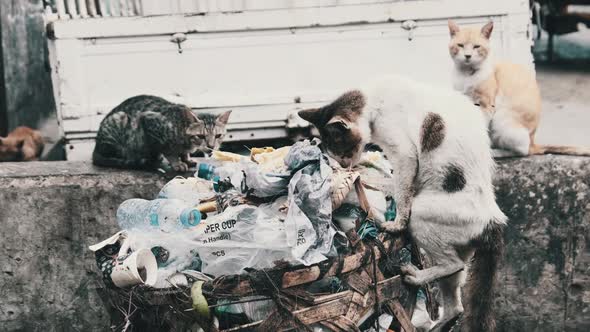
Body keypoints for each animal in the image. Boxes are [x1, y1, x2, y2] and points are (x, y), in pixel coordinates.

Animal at [92, 94, 231, 170]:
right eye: (200, 136)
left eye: (218, 135)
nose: (211, 146)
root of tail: (96, 147)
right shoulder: (149, 122)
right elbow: (168, 151)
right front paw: (177, 163)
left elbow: (184, 153)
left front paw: (186, 158)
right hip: (120, 119)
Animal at [300, 76, 508, 332]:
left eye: (342, 149)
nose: (343, 165)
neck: (373, 100)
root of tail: (494, 220)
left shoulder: (405, 155)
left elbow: (402, 190)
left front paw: (396, 221)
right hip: (456, 247)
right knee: (456, 305)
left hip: (422, 217)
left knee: (453, 264)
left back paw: (415, 276)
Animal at [450, 19, 588, 157]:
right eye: (460, 45)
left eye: (476, 47)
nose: (468, 56)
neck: (465, 74)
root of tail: (533, 143)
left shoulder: (486, 105)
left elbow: (481, 128)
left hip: (501, 118)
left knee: (521, 151)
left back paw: (496, 152)